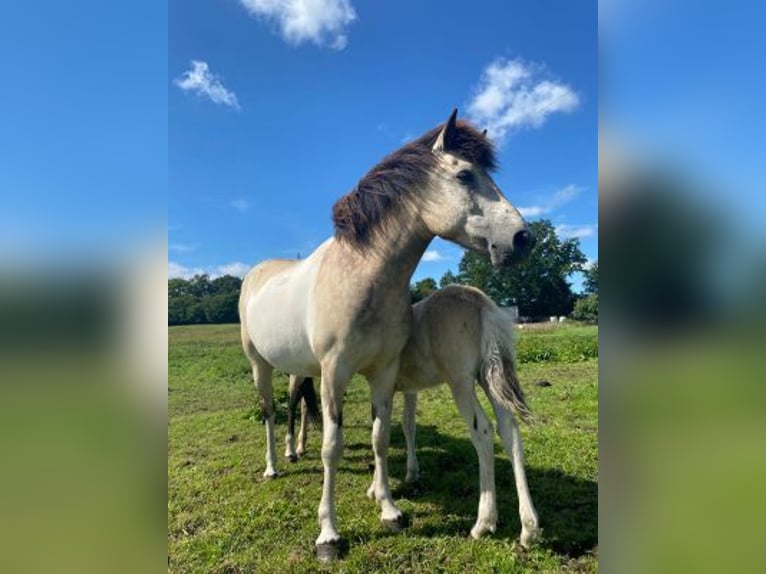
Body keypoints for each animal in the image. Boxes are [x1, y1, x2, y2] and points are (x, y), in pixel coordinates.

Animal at [240, 109, 536, 564]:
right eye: (465, 175)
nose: (523, 239)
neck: (364, 276)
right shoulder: (335, 374)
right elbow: (333, 447)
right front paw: (329, 535)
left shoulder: (383, 373)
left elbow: (381, 437)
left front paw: (390, 510)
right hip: (262, 366)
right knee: (272, 412)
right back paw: (275, 464)